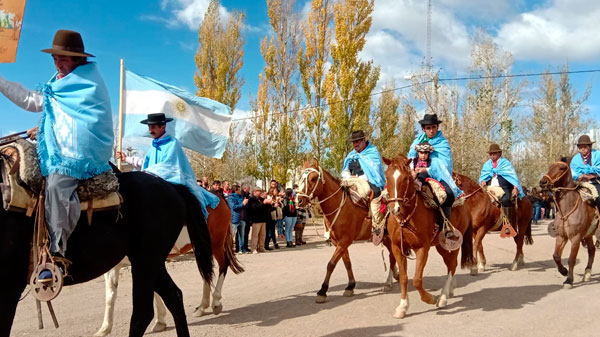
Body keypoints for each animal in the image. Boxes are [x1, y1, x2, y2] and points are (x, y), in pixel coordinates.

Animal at [0, 169, 216, 336]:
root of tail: (173, 187)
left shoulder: (10, 286)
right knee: (174, 297)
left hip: (147, 260)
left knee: (143, 313)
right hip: (150, 261)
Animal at [96, 193, 241, 334]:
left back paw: (215, 302)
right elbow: (111, 295)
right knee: (206, 272)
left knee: (223, 265)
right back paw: (201, 307)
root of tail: (219, 196)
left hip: (215, 244)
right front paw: (105, 328)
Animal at [296, 159, 398, 304]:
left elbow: (331, 264)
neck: (340, 206)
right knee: (392, 256)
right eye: (300, 177)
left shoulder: (344, 241)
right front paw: (350, 286)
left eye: (313, 178)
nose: (299, 200)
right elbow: (347, 263)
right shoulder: (339, 243)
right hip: (385, 238)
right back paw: (394, 276)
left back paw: (389, 282)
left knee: (392, 257)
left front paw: (322, 291)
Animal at [384, 156, 474, 318]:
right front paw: (402, 307)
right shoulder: (397, 248)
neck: (407, 217)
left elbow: (417, 280)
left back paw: (443, 297)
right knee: (450, 265)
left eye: (406, 178)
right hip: (440, 246)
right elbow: (403, 278)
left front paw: (431, 298)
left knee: (452, 265)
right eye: (387, 177)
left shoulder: (422, 248)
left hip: (452, 244)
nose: (394, 208)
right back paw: (450, 290)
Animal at [540, 159, 596, 288]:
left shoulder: (576, 238)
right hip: (589, 235)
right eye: (550, 167)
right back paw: (587, 273)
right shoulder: (561, 236)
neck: (567, 209)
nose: (543, 182)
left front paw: (569, 280)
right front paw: (564, 271)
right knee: (592, 250)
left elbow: (571, 259)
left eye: (561, 168)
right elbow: (556, 256)